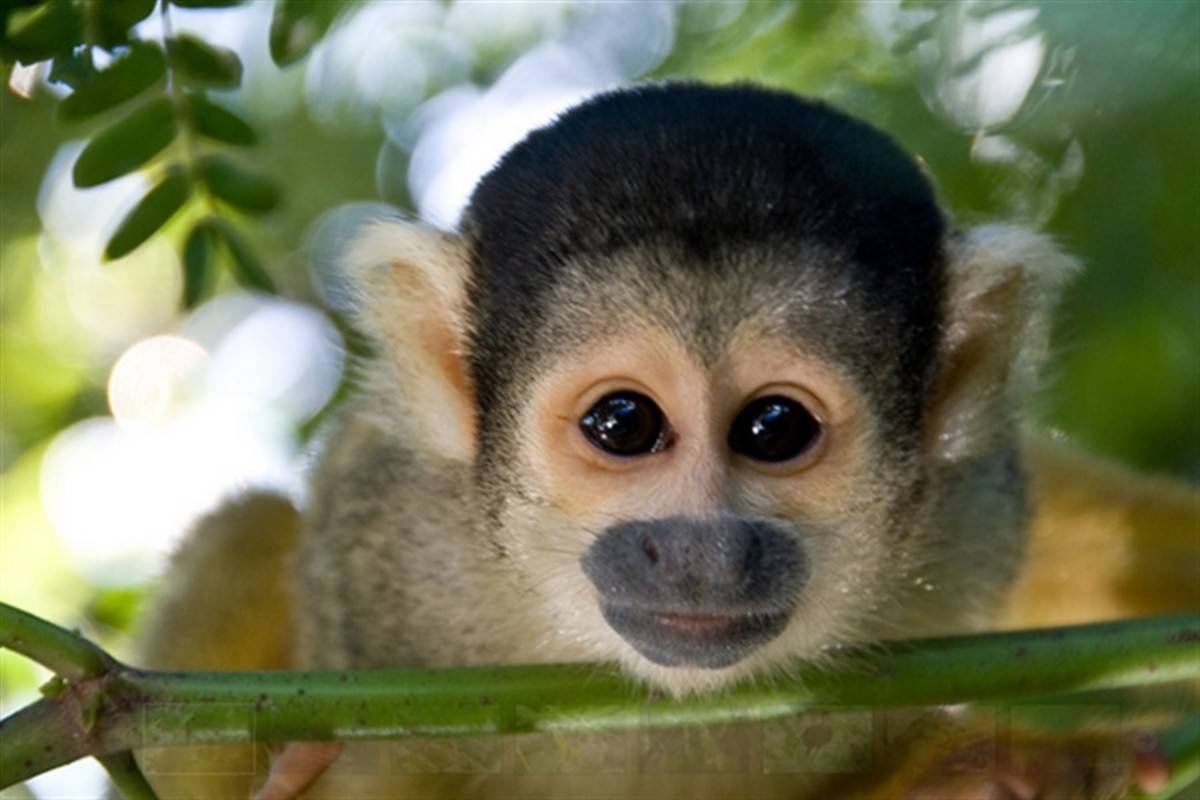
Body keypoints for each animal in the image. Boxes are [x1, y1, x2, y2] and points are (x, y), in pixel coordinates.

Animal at [136, 84, 1195, 796]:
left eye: (775, 428)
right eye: (624, 423)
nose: (700, 553)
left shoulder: (977, 506)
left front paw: (1006, 763)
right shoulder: (381, 536)